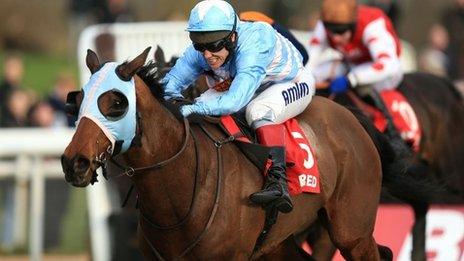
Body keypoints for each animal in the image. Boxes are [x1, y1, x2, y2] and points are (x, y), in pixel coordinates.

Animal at [61, 47, 402, 258]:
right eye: (77, 99)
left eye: (117, 103)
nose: (73, 162)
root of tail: (350, 117)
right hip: (279, 244)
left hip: (351, 231)